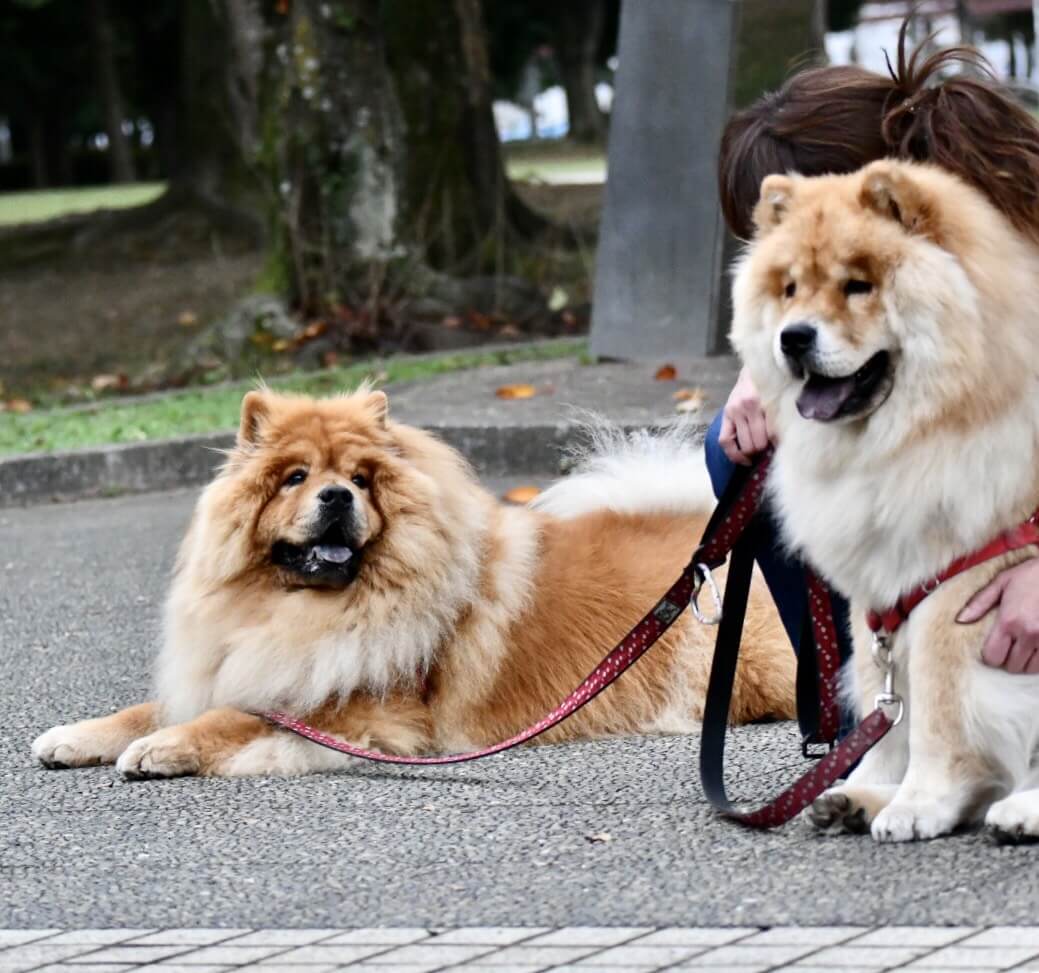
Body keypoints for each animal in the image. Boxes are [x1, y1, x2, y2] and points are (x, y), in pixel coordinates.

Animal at [34, 386, 793, 773]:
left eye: (361, 478)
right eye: (295, 477)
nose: (337, 495)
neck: (299, 610)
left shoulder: (367, 707)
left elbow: (234, 716)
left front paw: (161, 750)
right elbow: (154, 706)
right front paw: (76, 735)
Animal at [727, 160, 1039, 844]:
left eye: (858, 286)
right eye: (790, 289)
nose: (793, 338)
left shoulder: (961, 579)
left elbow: (936, 703)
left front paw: (921, 802)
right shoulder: (880, 582)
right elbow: (885, 698)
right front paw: (870, 786)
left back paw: (1023, 810)